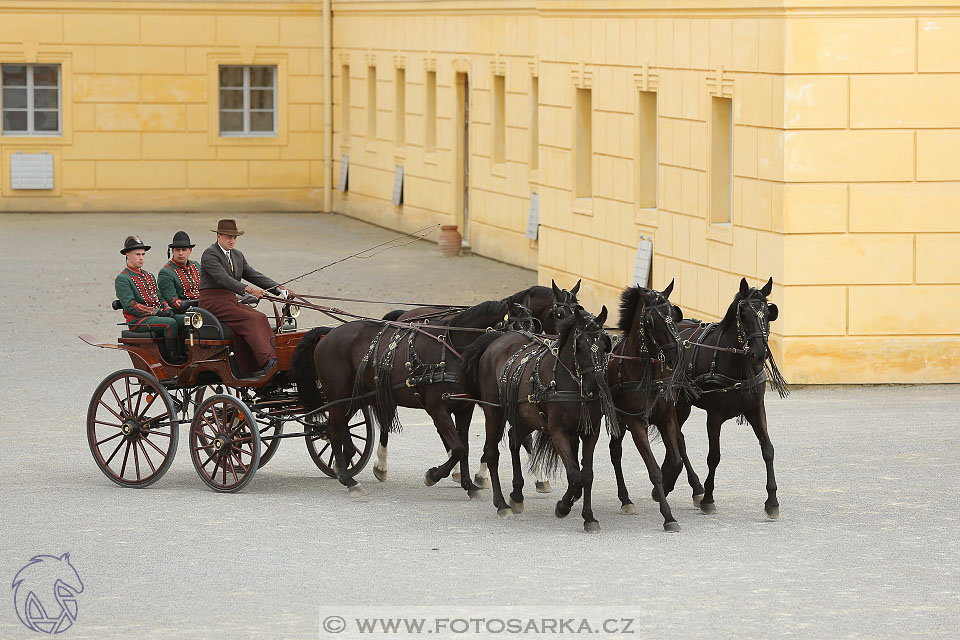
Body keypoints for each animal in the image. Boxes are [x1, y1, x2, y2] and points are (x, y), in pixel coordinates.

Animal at [464, 308, 620, 532]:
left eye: (603, 345)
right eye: (580, 346)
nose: (594, 387)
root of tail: (499, 337)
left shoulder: (590, 432)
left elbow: (586, 476)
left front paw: (588, 516)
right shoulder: (558, 432)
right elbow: (574, 475)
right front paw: (563, 506)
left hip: (523, 416)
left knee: (514, 441)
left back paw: (516, 495)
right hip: (495, 413)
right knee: (492, 453)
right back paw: (501, 503)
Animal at [608, 282, 688, 532]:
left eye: (673, 314)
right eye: (651, 322)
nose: (676, 353)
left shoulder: (666, 418)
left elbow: (676, 461)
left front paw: (664, 488)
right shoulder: (635, 423)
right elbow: (653, 470)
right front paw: (668, 517)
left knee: (615, 452)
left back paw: (626, 500)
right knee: (615, 454)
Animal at [664, 278, 784, 516]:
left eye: (767, 313)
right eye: (744, 314)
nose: (760, 352)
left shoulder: (756, 409)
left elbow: (768, 449)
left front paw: (772, 500)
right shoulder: (715, 415)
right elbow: (714, 456)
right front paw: (708, 498)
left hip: (683, 404)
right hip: (677, 403)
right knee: (677, 438)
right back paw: (692, 485)